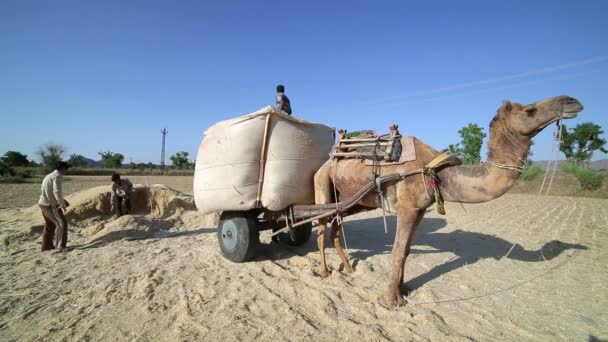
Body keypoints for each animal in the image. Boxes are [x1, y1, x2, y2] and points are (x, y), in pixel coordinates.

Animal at [314, 95, 584, 306]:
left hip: (350, 201)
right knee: (321, 229)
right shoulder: (406, 207)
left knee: (335, 229)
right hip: (322, 185)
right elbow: (398, 251)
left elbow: (407, 250)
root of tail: (326, 162)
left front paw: (404, 289)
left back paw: (349, 269)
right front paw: (392, 300)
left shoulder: (420, 209)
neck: (437, 171)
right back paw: (325, 272)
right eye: (530, 110)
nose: (572, 101)